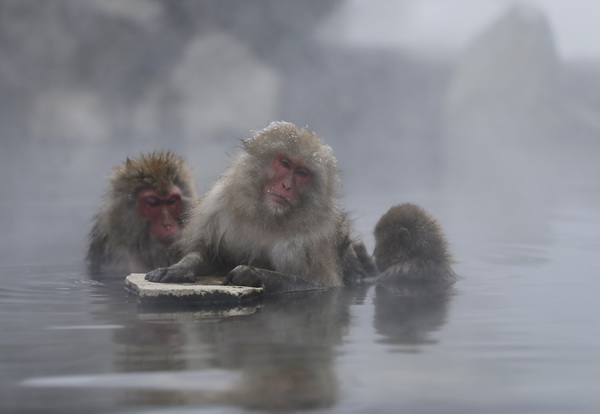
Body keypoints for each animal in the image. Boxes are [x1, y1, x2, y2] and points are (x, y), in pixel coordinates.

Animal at [145, 121, 376, 292]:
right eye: (285, 163)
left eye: (302, 173)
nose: (286, 186)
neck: (267, 215)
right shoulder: (217, 205)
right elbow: (212, 255)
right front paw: (179, 268)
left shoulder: (310, 239)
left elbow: (319, 285)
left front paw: (251, 274)